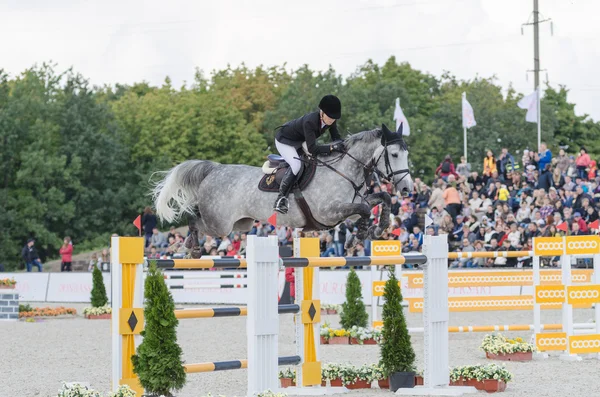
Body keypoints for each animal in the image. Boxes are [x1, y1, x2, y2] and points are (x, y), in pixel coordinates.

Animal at [152, 124, 412, 254]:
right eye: (394, 154)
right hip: (220, 224)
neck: (345, 170)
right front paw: (358, 237)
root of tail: (214, 169)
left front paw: (376, 230)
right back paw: (192, 247)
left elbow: (381, 198)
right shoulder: (329, 212)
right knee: (194, 219)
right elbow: (366, 209)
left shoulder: (352, 206)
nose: (407, 189)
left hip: (241, 224)